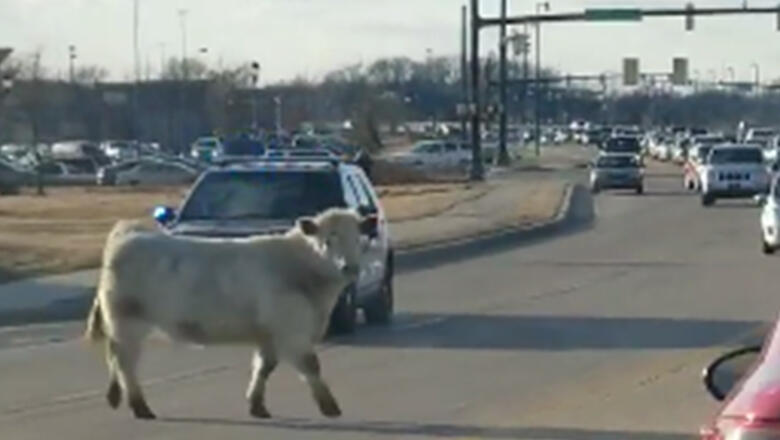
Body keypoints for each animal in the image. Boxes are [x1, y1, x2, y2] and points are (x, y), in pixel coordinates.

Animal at [87, 208, 374, 422]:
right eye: (328, 241)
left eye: (358, 239)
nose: (349, 267)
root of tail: (129, 229)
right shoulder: (291, 331)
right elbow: (311, 365)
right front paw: (330, 407)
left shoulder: (270, 334)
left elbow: (264, 367)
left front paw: (257, 405)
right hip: (128, 319)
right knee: (125, 363)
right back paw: (140, 407)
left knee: (114, 356)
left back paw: (114, 397)